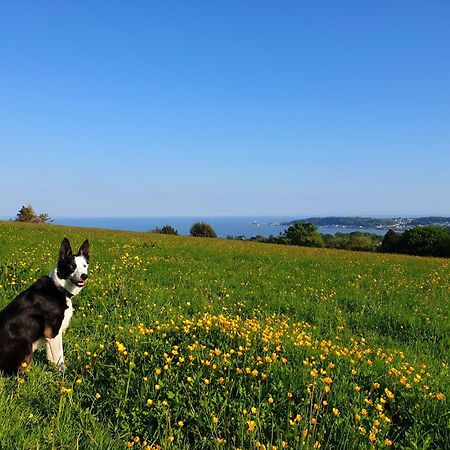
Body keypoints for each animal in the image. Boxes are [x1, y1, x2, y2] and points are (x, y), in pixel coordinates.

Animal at [0, 237, 89, 374]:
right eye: (71, 266)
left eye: (85, 266)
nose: (84, 276)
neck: (59, 288)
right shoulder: (53, 333)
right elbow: (59, 358)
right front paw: (63, 375)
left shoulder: (50, 336)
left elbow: (51, 359)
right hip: (25, 344)